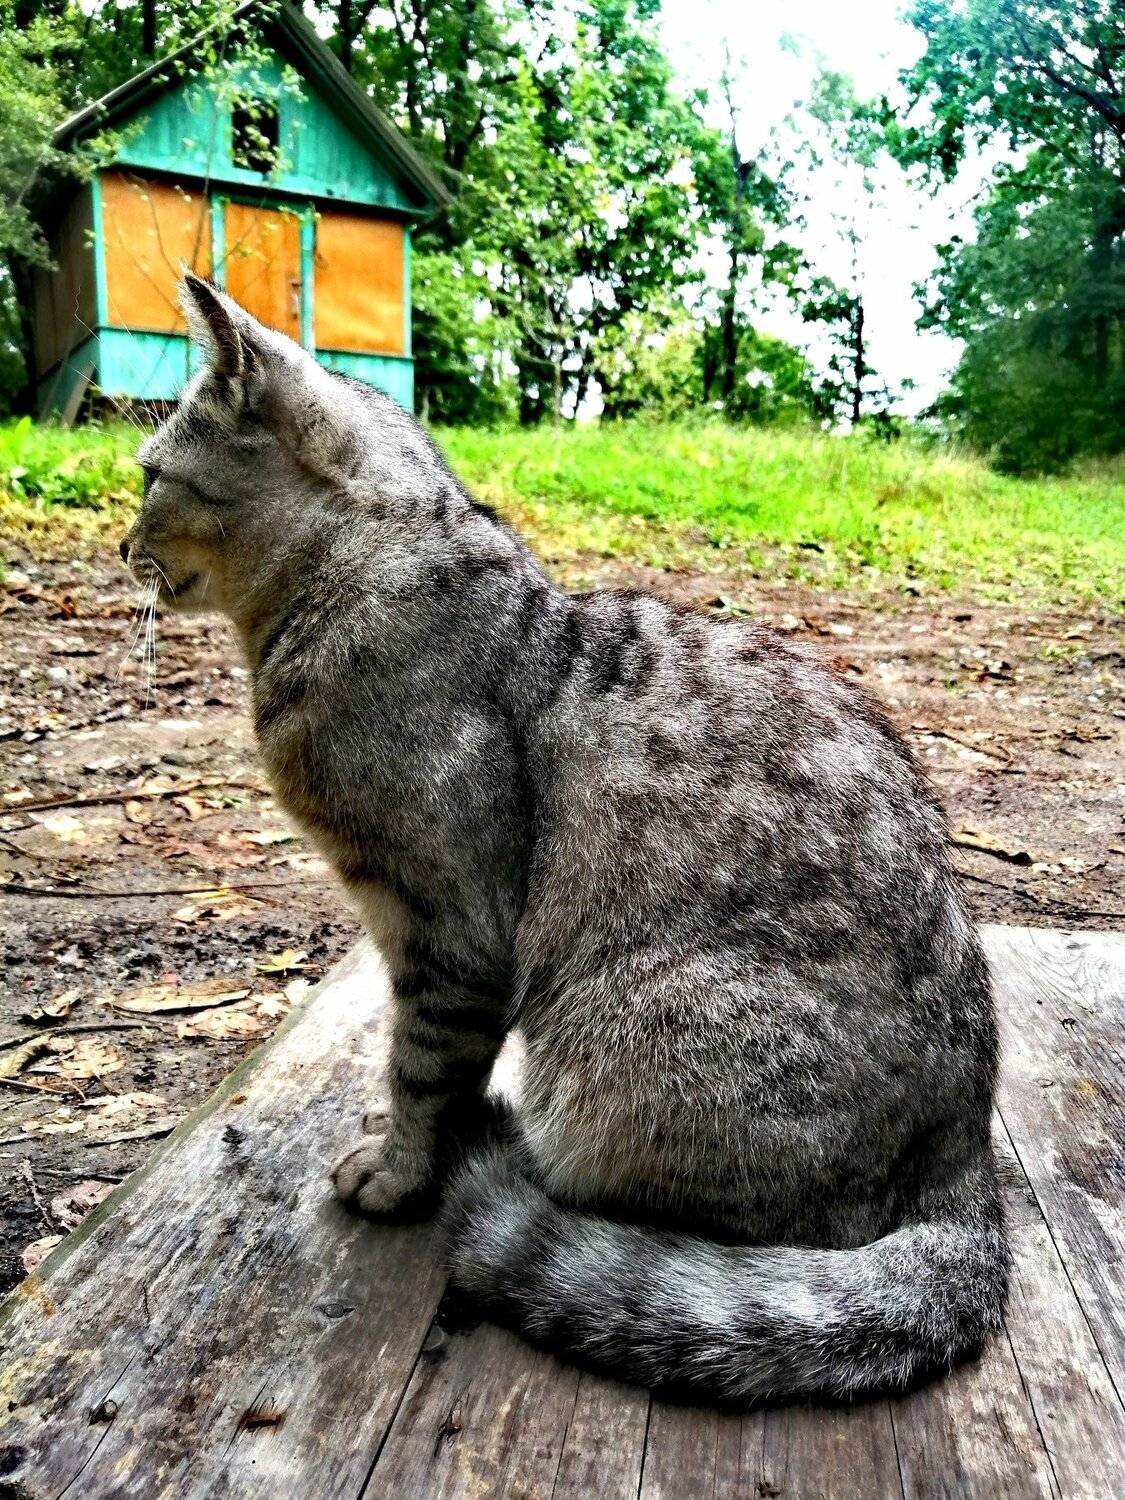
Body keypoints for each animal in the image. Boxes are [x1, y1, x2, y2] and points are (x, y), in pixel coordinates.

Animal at [121, 273, 1009, 1405]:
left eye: (150, 476)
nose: (122, 546)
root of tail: (967, 1170)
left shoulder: (450, 926)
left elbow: (421, 1069)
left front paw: (399, 1172)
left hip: (625, 1038)